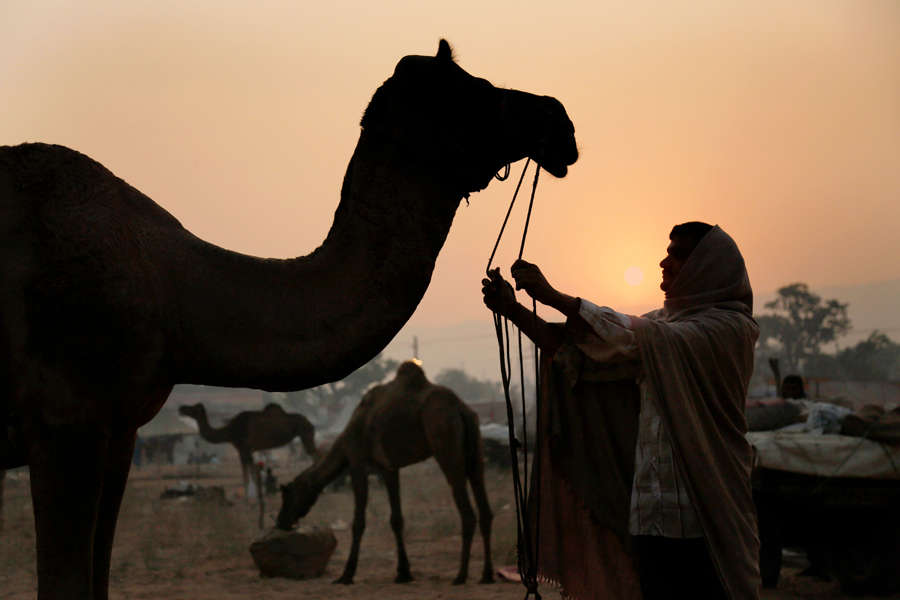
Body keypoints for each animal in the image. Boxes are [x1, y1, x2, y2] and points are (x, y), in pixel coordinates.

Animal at [177, 404, 316, 524]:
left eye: (193, 408)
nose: (181, 408)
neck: (230, 431)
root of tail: (311, 423)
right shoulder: (245, 451)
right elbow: (251, 473)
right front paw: (255, 502)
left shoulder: (244, 449)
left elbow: (247, 476)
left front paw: (248, 503)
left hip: (306, 434)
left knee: (316, 455)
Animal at [278, 360, 496, 584]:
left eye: (286, 495)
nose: (281, 521)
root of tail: (460, 408)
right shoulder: (389, 468)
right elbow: (396, 519)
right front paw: (403, 572)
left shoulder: (357, 462)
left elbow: (358, 521)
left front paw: (347, 574)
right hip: (475, 446)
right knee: (484, 503)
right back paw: (486, 574)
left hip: (445, 440)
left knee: (466, 510)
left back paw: (461, 575)